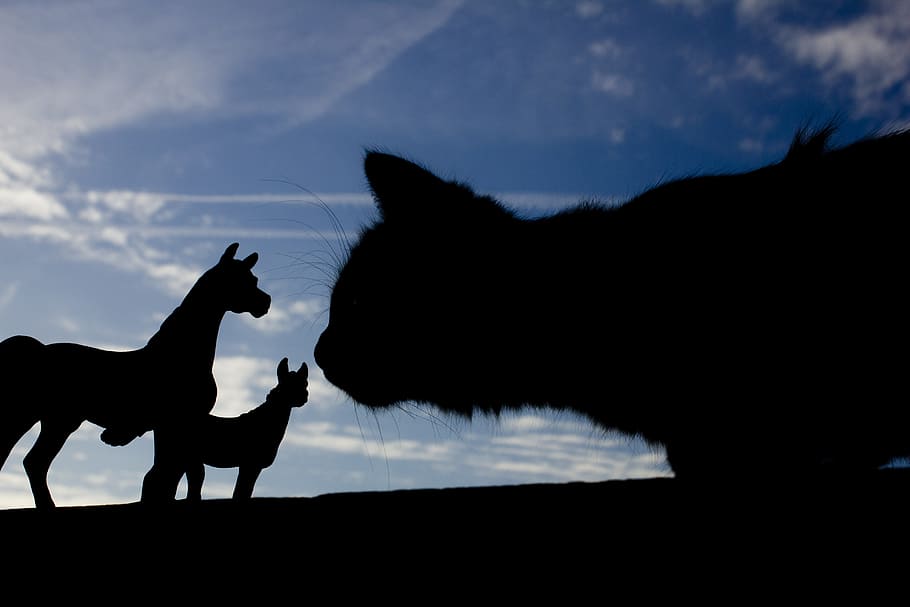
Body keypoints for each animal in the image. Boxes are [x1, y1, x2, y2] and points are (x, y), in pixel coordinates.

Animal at [0, 242, 271, 508]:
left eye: (254, 278)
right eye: (242, 280)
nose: (266, 303)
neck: (180, 353)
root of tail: (36, 350)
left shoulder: (176, 426)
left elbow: (175, 474)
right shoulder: (176, 424)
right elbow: (171, 474)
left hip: (52, 421)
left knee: (32, 462)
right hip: (36, 418)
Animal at [184, 357, 308, 500]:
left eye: (305, 383)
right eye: (288, 384)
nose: (304, 396)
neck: (267, 421)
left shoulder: (253, 466)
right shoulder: (249, 464)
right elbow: (240, 492)